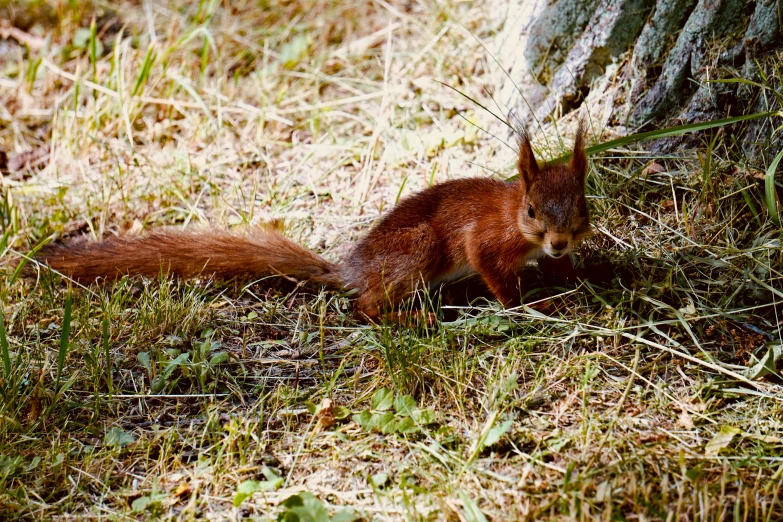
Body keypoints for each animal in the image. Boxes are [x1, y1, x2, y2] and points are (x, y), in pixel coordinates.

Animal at [36, 126, 596, 320]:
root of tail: (351, 270)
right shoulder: (486, 241)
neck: (514, 219)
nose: (558, 243)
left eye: (584, 207)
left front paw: (575, 277)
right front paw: (527, 304)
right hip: (418, 251)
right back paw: (410, 319)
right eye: (532, 211)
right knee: (365, 308)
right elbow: (494, 273)